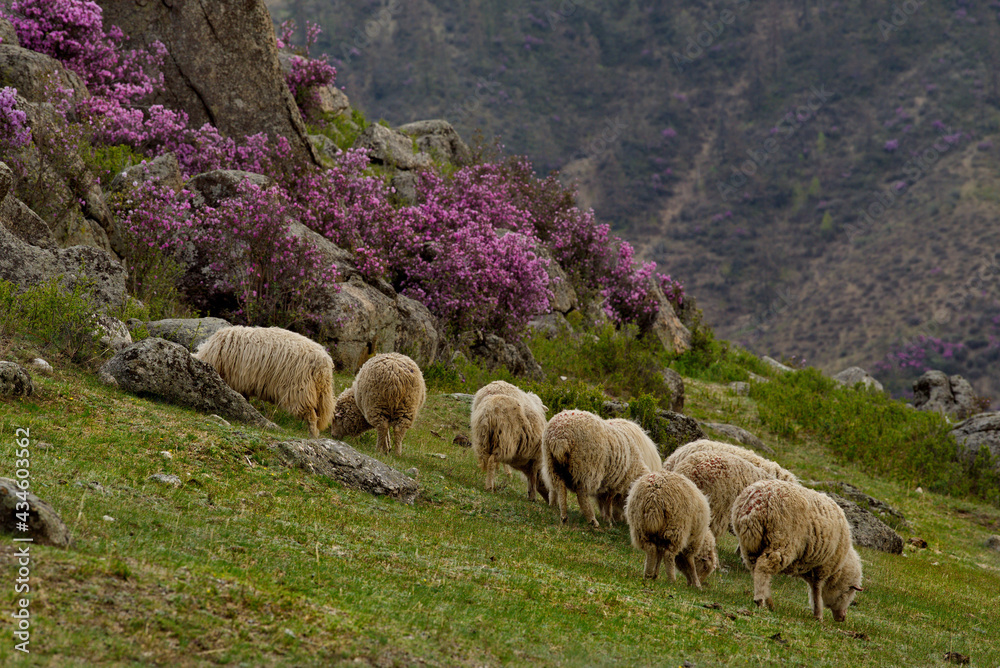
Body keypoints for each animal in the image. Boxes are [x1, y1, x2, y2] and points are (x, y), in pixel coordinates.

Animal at [194, 325, 334, 438]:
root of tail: (323, 362)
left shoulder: (237, 381)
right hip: (320, 393)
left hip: (299, 389)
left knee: (310, 416)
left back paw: (311, 434)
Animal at [731, 479, 864, 622]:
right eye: (849, 591)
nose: (842, 617)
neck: (841, 566)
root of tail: (756, 500)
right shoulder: (823, 567)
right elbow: (816, 590)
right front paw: (818, 615)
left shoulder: (811, 569)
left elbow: (814, 588)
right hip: (782, 541)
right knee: (763, 567)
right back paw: (760, 600)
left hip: (749, 544)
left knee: (755, 569)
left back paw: (768, 601)